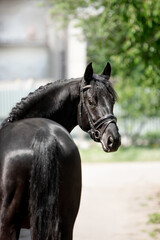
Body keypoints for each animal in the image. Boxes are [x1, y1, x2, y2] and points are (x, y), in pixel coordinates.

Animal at [0, 62, 120, 239]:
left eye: (112, 100)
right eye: (91, 101)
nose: (113, 140)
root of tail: (44, 135)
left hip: (8, 223)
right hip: (65, 223)